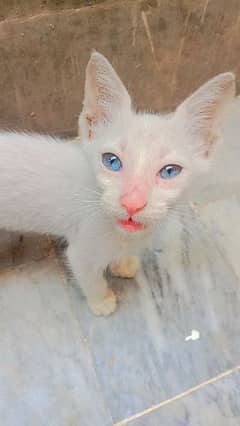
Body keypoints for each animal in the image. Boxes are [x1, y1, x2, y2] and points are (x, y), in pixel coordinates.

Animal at [0, 53, 234, 314]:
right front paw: (101, 301)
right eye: (111, 161)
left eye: (170, 171)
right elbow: (89, 275)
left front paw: (122, 262)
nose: (132, 203)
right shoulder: (82, 249)